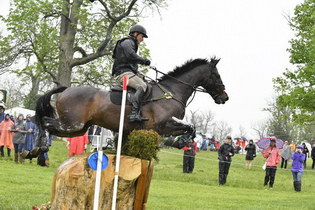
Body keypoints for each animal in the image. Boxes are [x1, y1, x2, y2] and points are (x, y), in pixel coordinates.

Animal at [35, 56, 230, 147]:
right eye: (216, 75)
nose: (225, 97)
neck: (171, 92)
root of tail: (66, 89)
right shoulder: (162, 126)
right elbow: (191, 128)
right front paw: (179, 142)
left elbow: (191, 129)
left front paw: (178, 142)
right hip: (72, 124)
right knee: (45, 121)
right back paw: (40, 146)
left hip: (79, 128)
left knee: (50, 126)